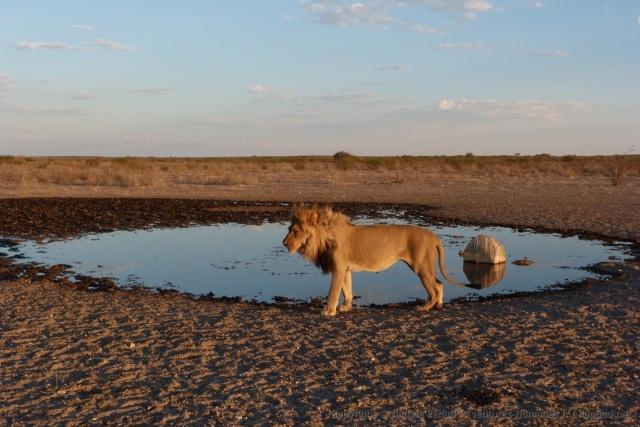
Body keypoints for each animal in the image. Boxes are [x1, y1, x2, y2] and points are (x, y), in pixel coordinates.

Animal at [282, 205, 469, 316]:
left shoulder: (338, 268)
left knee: (434, 288)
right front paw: (346, 307)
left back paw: (425, 307)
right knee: (439, 283)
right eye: (289, 229)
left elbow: (333, 291)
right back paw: (438, 305)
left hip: (421, 266)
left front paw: (328, 311)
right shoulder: (345, 269)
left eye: (295, 232)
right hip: (425, 265)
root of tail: (433, 235)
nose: (284, 243)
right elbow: (347, 290)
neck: (325, 236)